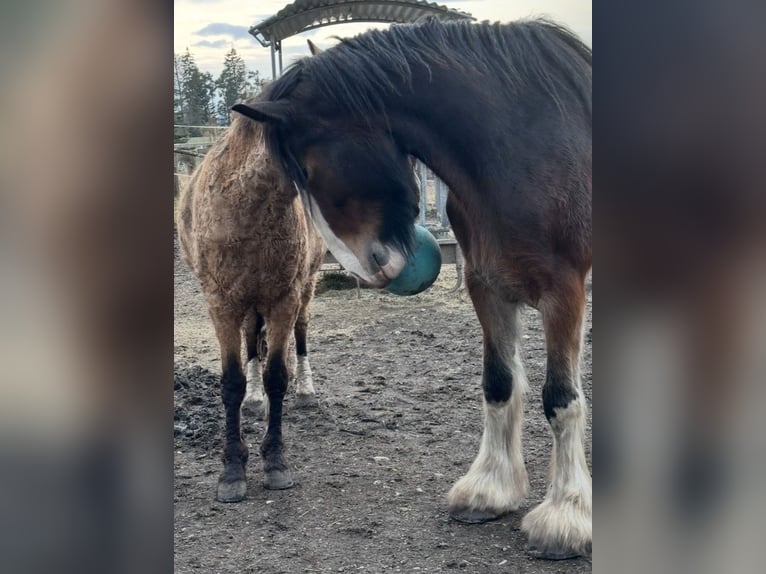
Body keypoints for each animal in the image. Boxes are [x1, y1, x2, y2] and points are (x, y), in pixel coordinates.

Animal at [176, 113, 325, 501]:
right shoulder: (222, 303)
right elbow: (232, 380)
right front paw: (232, 469)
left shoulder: (285, 299)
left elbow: (278, 376)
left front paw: (275, 462)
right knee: (252, 339)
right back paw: (255, 400)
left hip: (306, 287)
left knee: (301, 333)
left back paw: (306, 390)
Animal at [232, 18, 592, 559]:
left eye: (308, 170)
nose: (370, 270)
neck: (519, 148)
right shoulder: (486, 284)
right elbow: (498, 384)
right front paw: (489, 490)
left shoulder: (563, 290)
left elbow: (561, 398)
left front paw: (565, 518)